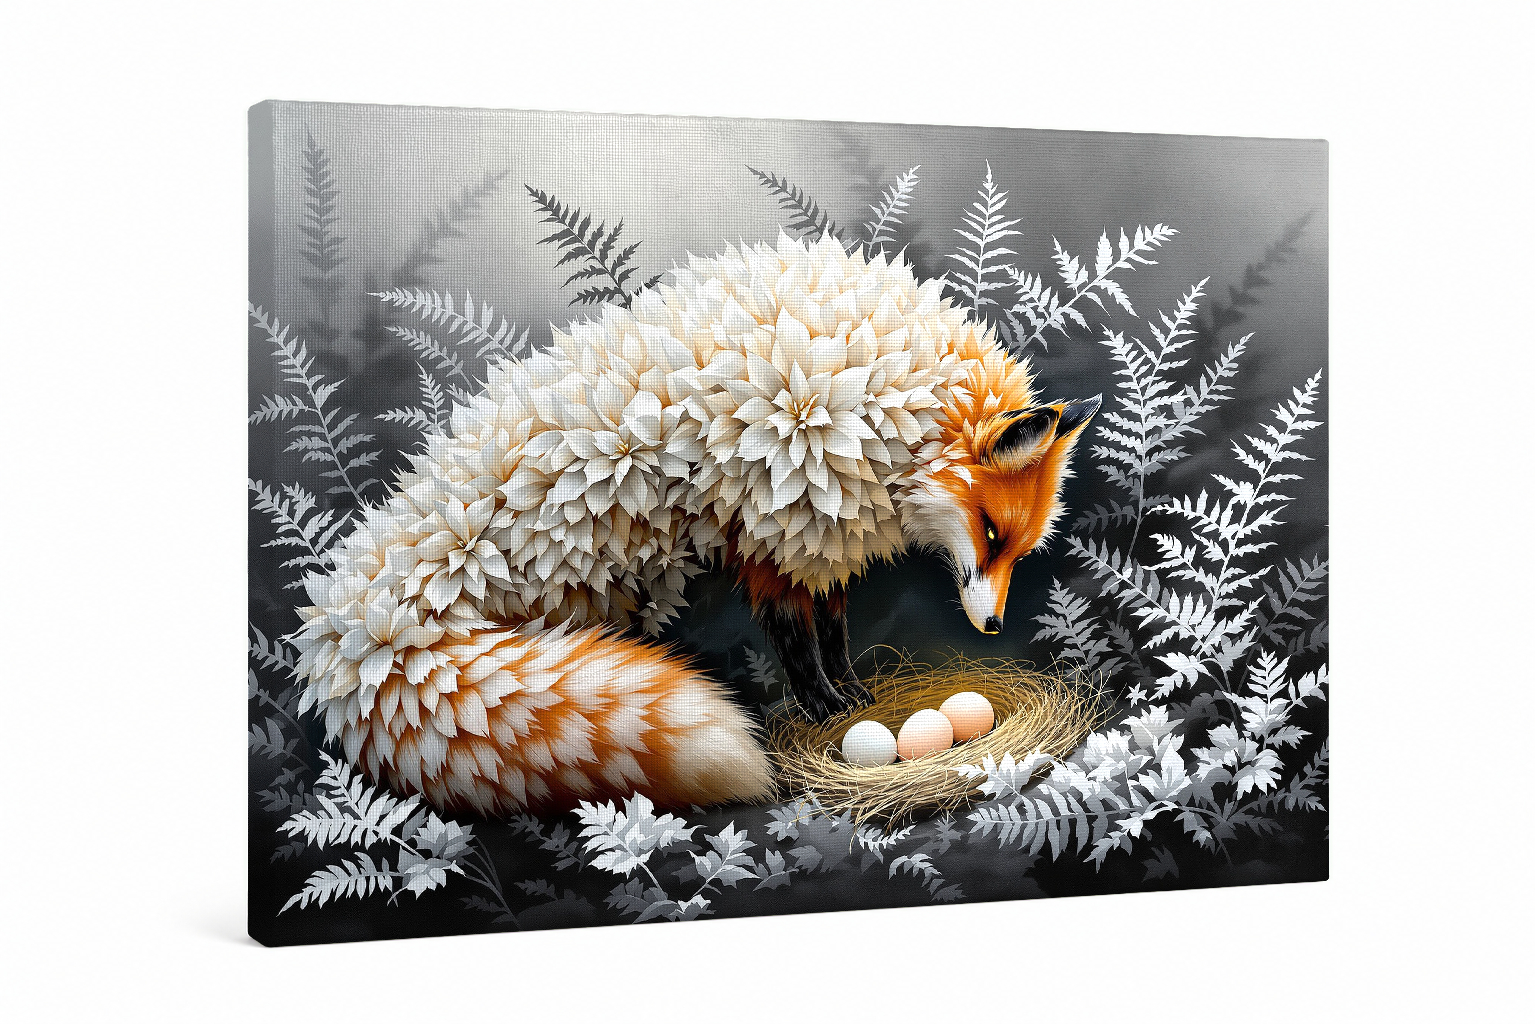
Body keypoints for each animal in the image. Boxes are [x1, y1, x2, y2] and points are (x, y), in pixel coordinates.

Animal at [290, 233, 1099, 817]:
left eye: (1017, 550)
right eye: (991, 534)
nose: (993, 627)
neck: (883, 409)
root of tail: (363, 624)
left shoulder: (826, 536)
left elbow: (835, 626)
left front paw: (853, 695)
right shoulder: (773, 526)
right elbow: (795, 638)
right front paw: (823, 708)